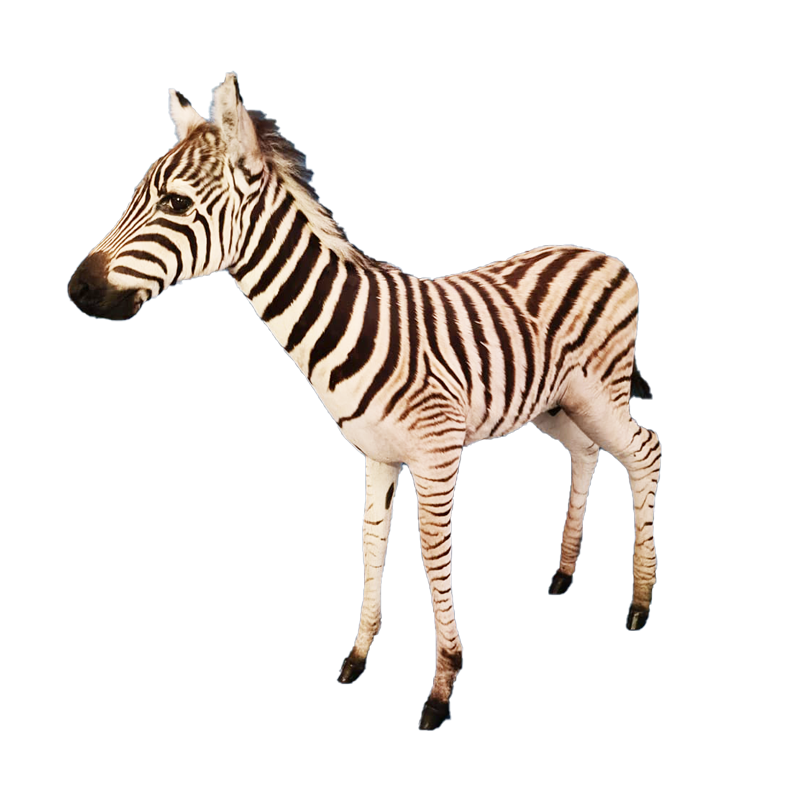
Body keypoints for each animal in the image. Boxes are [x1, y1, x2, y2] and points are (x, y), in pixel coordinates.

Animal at [67, 73, 661, 731]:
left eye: (174, 204)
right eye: (136, 196)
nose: (77, 288)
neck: (351, 324)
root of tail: (604, 253)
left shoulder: (436, 453)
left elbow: (432, 555)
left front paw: (442, 687)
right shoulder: (379, 454)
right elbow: (371, 540)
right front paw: (358, 654)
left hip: (601, 391)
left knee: (644, 454)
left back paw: (639, 603)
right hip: (559, 404)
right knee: (587, 452)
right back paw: (563, 573)